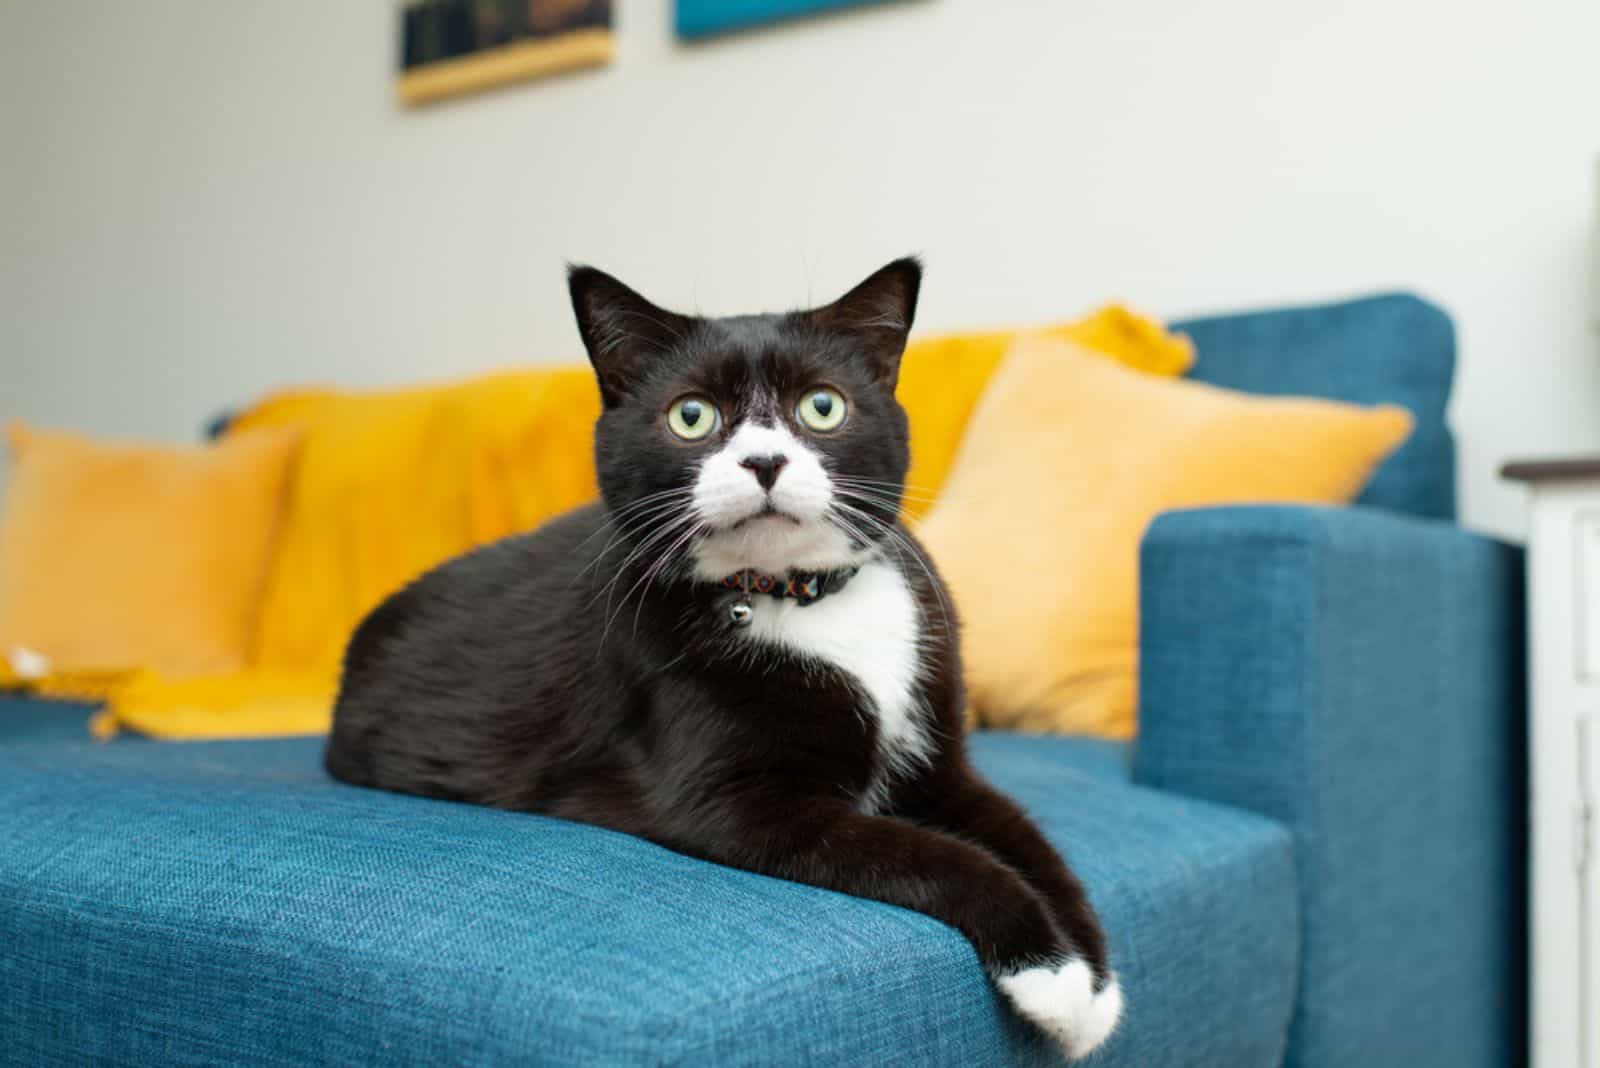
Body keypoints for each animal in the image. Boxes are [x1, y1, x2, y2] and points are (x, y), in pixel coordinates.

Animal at [321, 259, 1126, 1061]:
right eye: (692, 416)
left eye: (822, 407)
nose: (764, 459)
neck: (803, 599)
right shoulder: (732, 800)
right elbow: (930, 853)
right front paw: (1050, 976)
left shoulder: (940, 758)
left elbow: (1025, 837)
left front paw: (1093, 984)